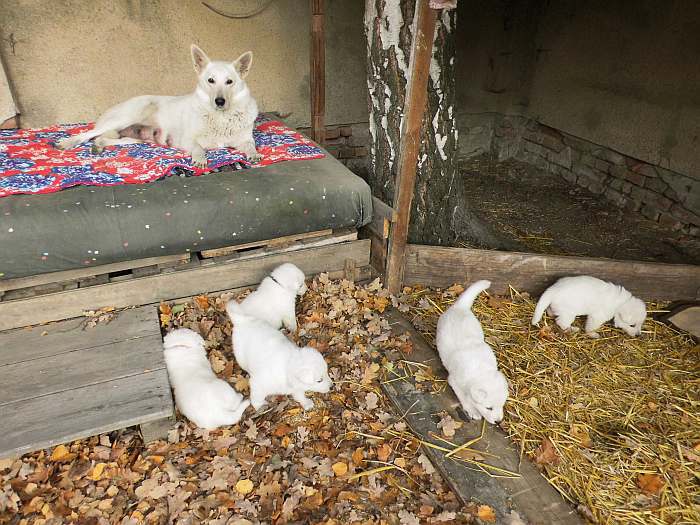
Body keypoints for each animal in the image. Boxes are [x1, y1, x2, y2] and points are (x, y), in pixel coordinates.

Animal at [57, 45, 260, 168]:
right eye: (211, 80)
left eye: (229, 82)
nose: (220, 101)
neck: (221, 117)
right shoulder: (187, 140)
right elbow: (199, 148)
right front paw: (200, 159)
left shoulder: (244, 139)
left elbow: (251, 145)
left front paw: (254, 154)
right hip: (125, 118)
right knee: (89, 133)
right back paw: (67, 143)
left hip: (132, 137)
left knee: (102, 139)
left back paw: (98, 147)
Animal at [438, 280, 508, 424]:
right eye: (489, 408)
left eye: (502, 405)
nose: (498, 422)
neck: (481, 371)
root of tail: (460, 307)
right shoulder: (454, 381)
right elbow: (465, 398)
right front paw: (473, 411)